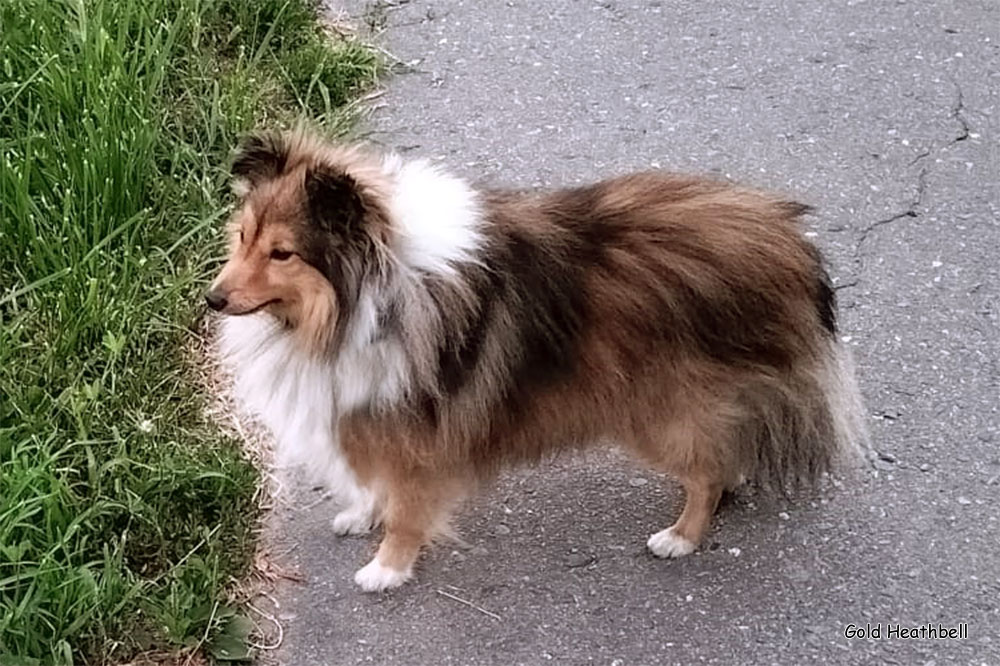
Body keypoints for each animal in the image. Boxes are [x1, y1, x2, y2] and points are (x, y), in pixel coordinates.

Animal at [211, 130, 868, 592]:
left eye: (283, 253)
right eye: (242, 238)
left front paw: (387, 568)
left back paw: (680, 537)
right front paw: (361, 513)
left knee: (708, 472)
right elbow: (377, 483)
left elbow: (407, 508)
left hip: (657, 413)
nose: (213, 299)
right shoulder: (371, 410)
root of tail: (785, 241)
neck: (367, 293)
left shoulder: (419, 431)